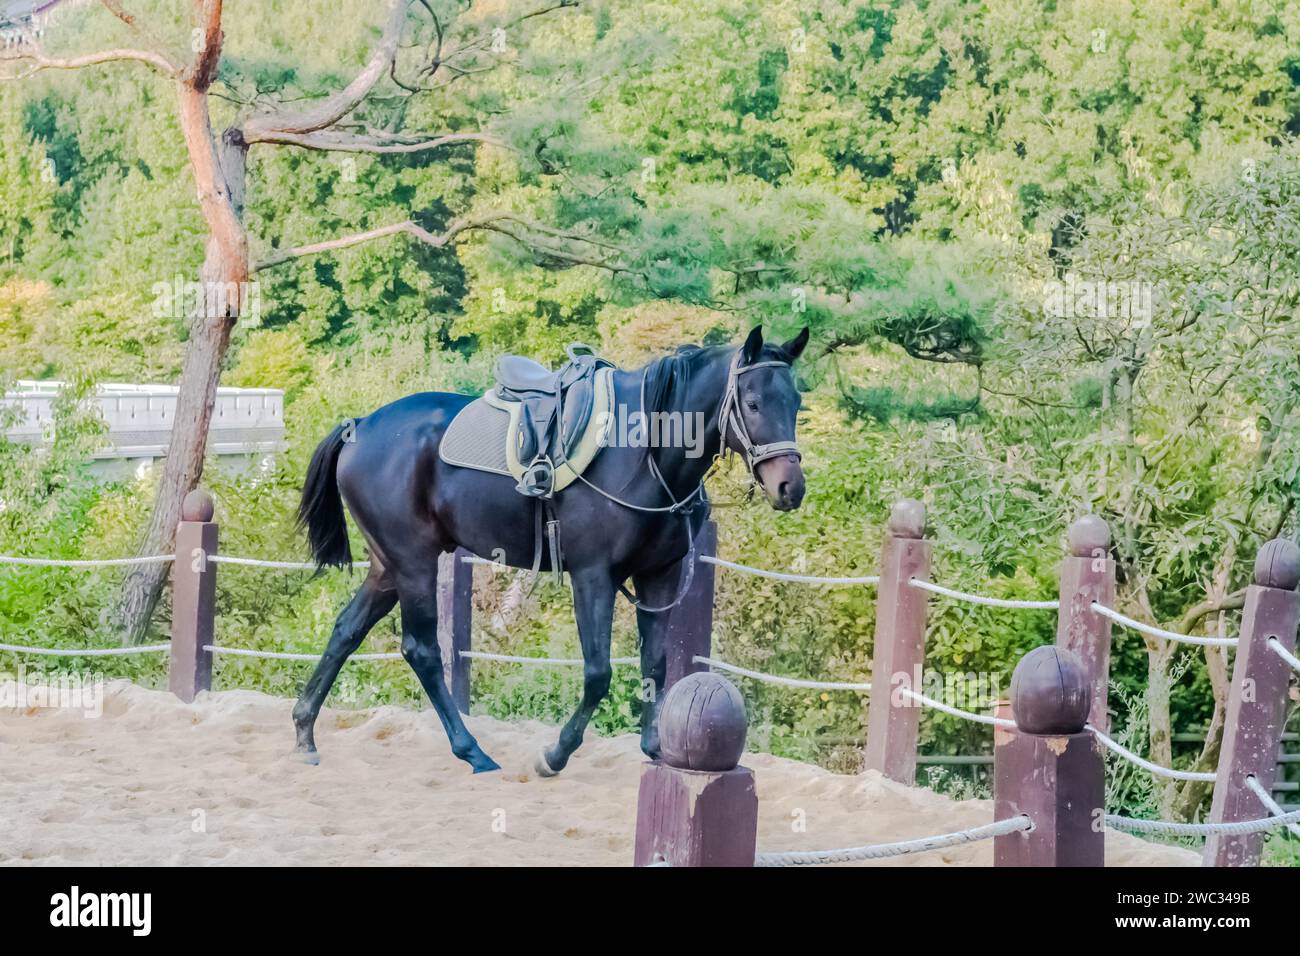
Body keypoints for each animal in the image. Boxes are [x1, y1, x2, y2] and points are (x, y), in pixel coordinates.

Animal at [292, 325, 809, 774]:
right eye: (754, 403)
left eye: (797, 403)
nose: (791, 487)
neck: (643, 450)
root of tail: (359, 425)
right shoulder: (593, 576)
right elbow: (598, 673)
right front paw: (556, 754)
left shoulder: (658, 575)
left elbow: (656, 665)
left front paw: (656, 748)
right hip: (415, 564)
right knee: (421, 650)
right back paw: (472, 751)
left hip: (388, 566)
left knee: (345, 631)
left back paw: (304, 733)